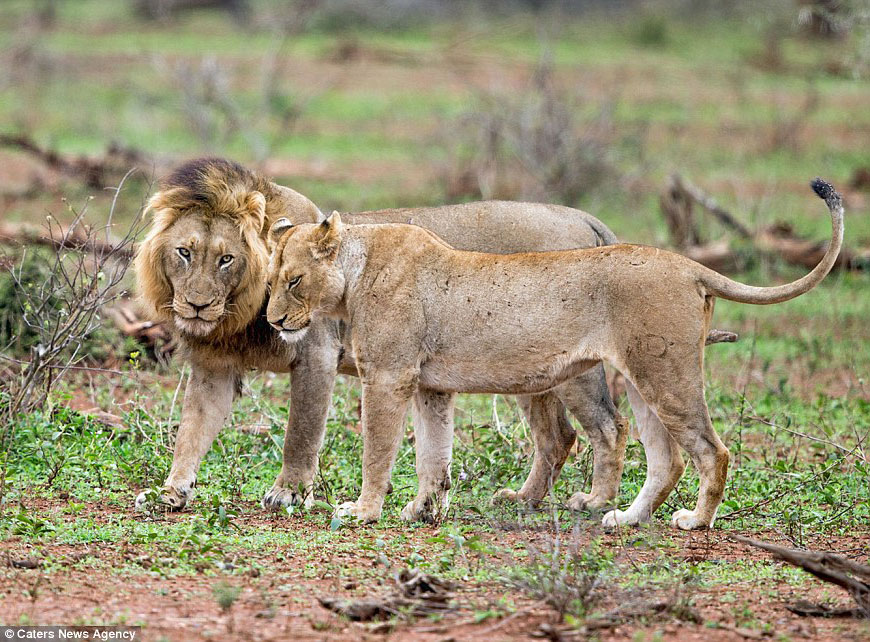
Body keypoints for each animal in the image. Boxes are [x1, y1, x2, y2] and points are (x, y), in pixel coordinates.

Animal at [264, 178, 844, 528]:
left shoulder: (387, 376)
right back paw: (624, 519)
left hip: (664, 376)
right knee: (666, 458)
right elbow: (435, 454)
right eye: (267, 281)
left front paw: (363, 510)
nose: (271, 321)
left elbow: (378, 449)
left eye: (293, 281)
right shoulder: (431, 385)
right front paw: (422, 510)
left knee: (708, 450)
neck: (355, 272)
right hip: (643, 379)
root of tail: (687, 265)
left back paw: (694, 521)